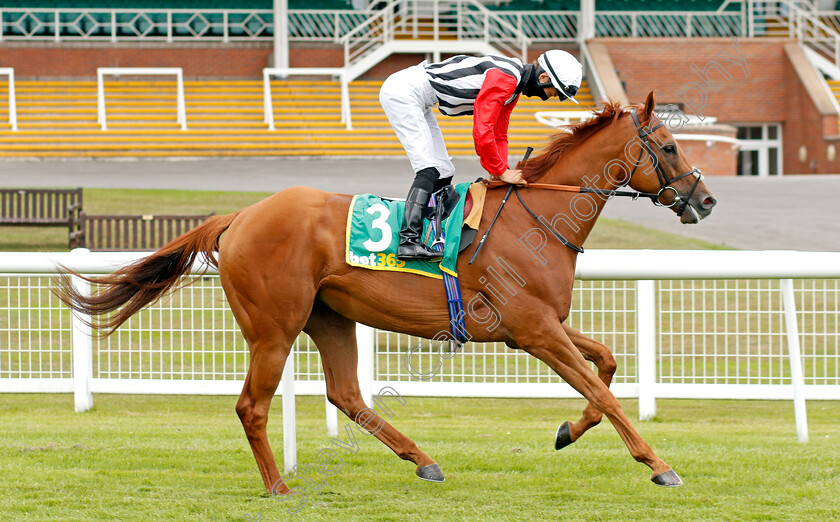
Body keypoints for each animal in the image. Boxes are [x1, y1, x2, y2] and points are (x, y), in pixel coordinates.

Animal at [57, 91, 716, 494]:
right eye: (670, 145)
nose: (705, 200)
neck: (539, 216)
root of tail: (239, 215)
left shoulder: (536, 325)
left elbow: (606, 364)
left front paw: (566, 432)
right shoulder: (533, 330)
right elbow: (603, 392)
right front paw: (660, 466)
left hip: (329, 317)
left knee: (347, 394)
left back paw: (423, 460)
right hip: (274, 327)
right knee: (252, 406)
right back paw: (279, 486)